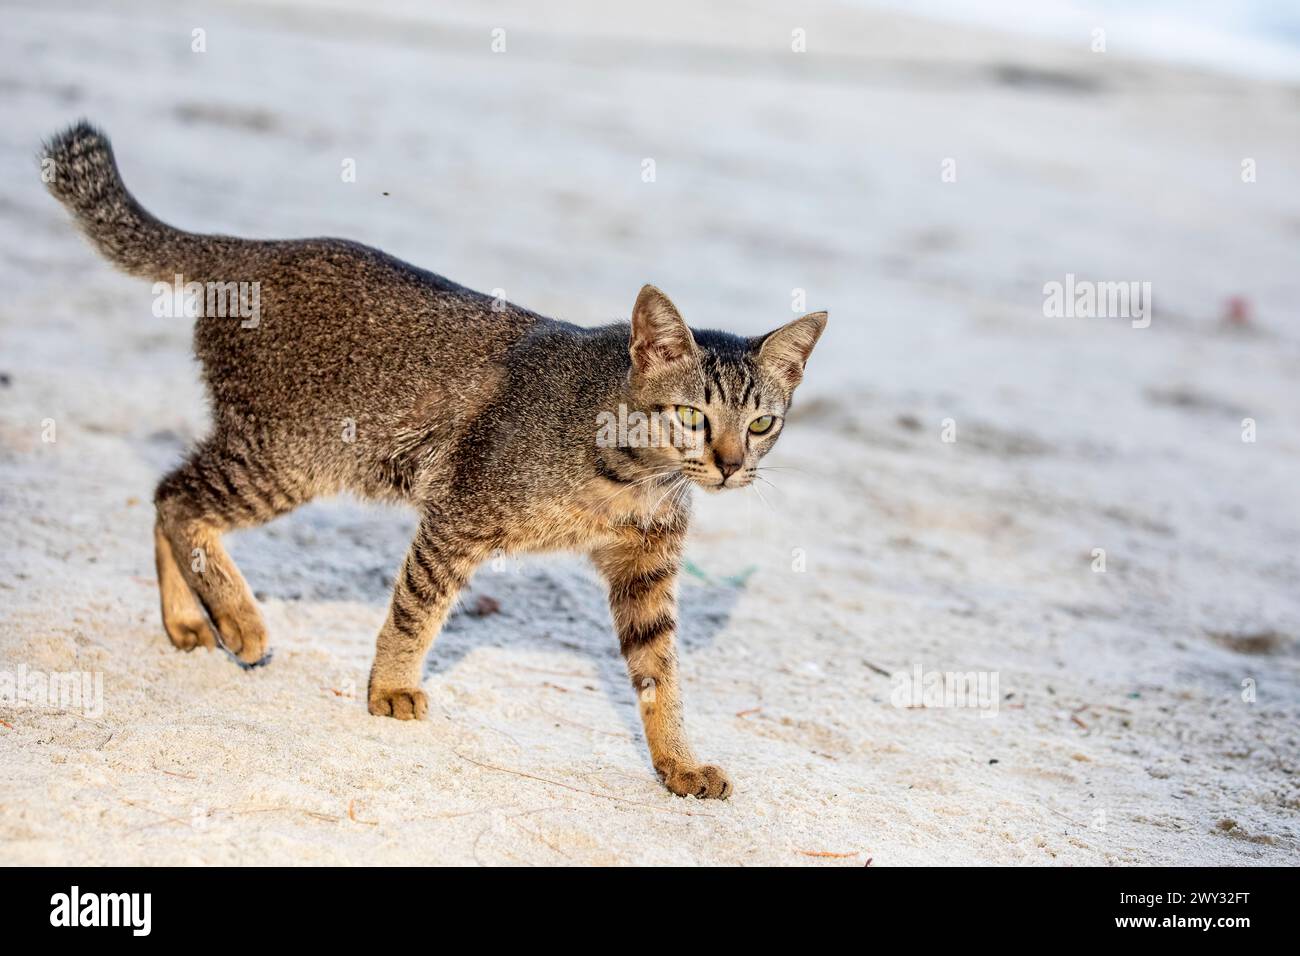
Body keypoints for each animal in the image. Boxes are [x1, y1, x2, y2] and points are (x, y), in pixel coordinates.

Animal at [50, 121, 826, 801]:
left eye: (761, 423)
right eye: (694, 418)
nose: (729, 464)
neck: (634, 478)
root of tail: (251, 252)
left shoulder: (646, 574)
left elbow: (660, 679)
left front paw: (679, 765)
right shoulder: (457, 517)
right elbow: (415, 612)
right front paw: (391, 688)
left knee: (168, 495)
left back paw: (186, 620)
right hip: (287, 458)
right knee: (176, 497)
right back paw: (238, 620)